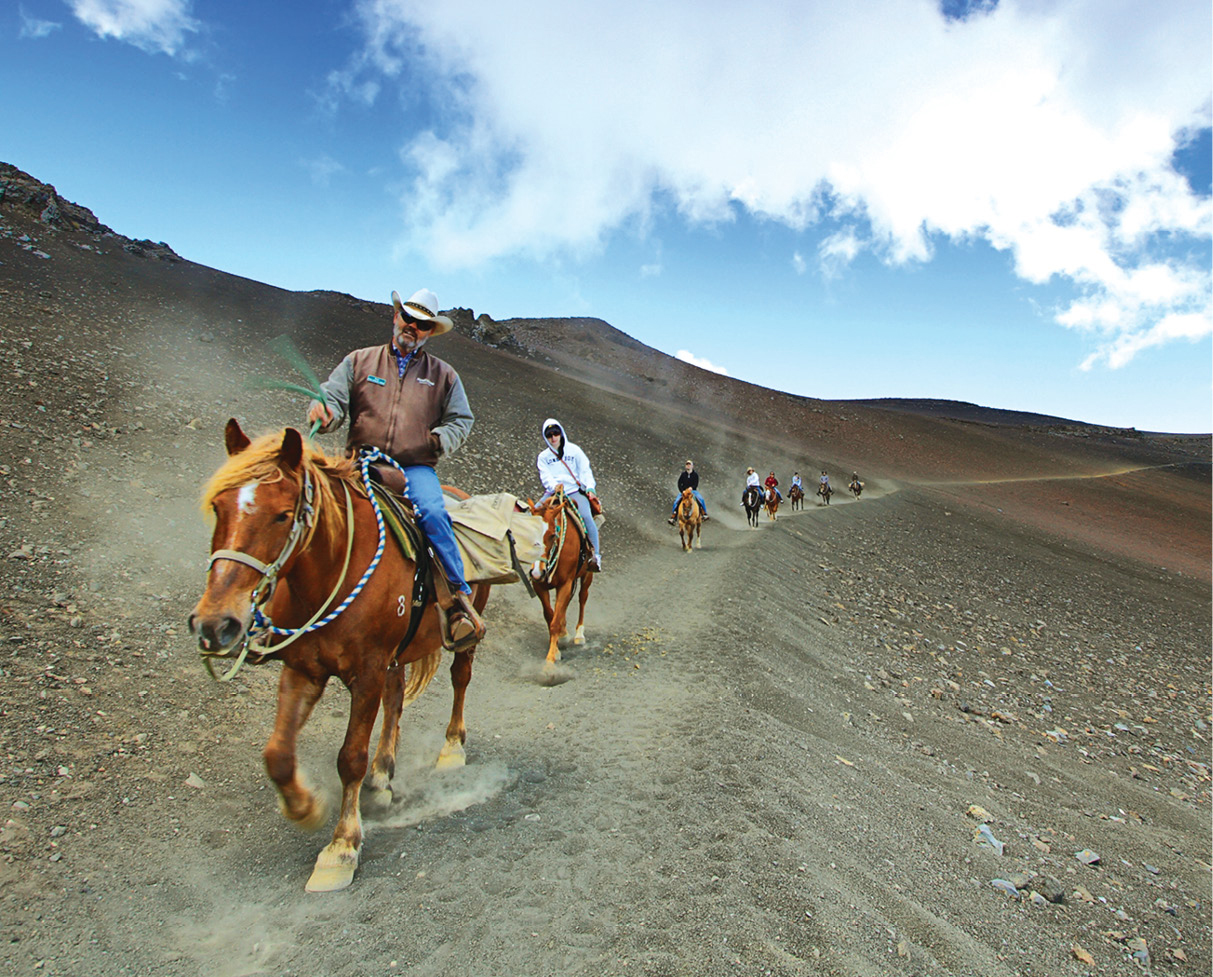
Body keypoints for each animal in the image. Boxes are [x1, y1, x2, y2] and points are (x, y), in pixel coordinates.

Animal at [189, 419, 487, 893]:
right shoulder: (304, 670)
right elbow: (277, 755)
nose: (216, 624)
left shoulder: (365, 674)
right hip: (396, 655)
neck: (332, 572)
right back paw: (382, 775)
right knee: (396, 698)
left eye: (282, 514)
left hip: (466, 631)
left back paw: (452, 748)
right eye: (218, 507)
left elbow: (349, 758)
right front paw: (305, 808)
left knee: (461, 678)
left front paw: (341, 848)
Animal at [528, 485, 594, 674]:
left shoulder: (565, 584)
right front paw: (558, 643)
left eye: (552, 535)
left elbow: (555, 621)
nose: (537, 571)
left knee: (582, 598)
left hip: (587, 575)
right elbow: (550, 615)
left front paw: (551, 658)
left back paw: (579, 635)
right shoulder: (539, 585)